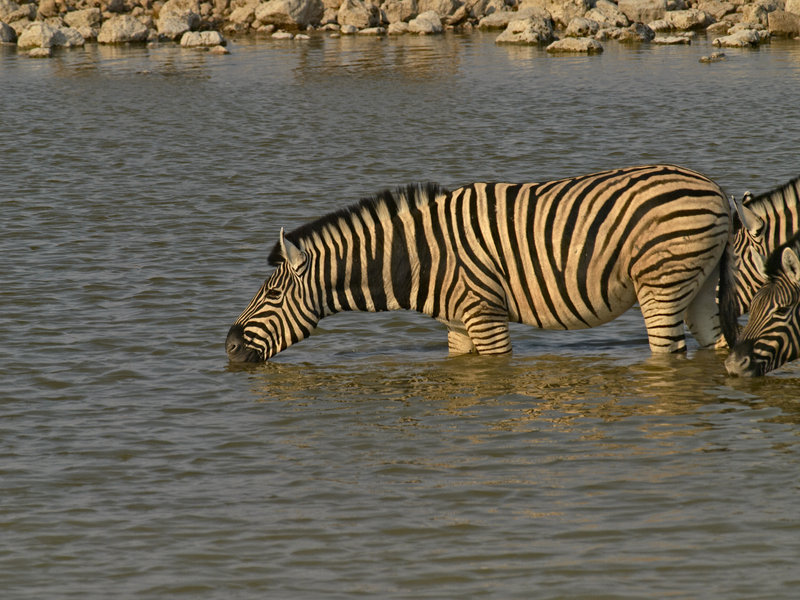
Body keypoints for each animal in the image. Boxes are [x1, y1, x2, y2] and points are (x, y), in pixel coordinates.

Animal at [226, 164, 736, 363]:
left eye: (272, 293)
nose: (228, 347)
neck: (420, 256)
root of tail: (714, 187)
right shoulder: (457, 326)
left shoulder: (486, 316)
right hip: (698, 283)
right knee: (714, 343)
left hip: (662, 284)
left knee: (668, 354)